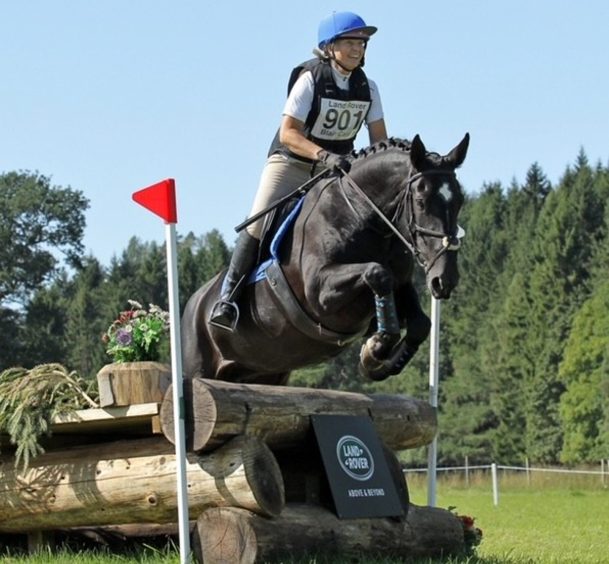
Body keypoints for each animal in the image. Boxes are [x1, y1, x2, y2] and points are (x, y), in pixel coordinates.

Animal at [178, 134, 468, 386]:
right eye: (420, 201)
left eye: (460, 201)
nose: (444, 279)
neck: (361, 213)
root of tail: (191, 304)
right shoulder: (320, 292)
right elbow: (377, 273)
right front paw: (375, 348)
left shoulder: (401, 282)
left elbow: (420, 323)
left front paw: (374, 361)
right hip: (198, 367)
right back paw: (223, 310)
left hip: (265, 373)